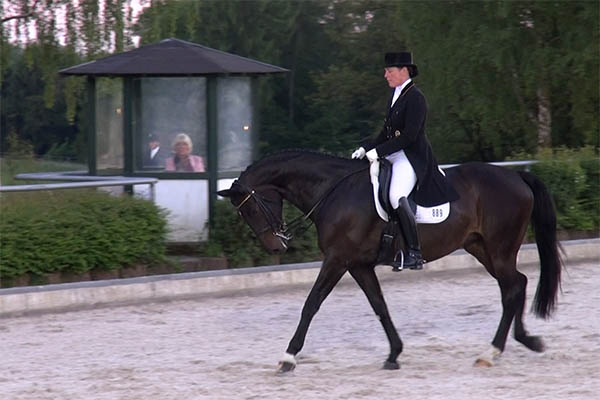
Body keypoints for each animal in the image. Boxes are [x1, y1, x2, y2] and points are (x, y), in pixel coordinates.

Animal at [217, 148, 564, 374]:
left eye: (251, 209)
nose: (276, 246)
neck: (333, 191)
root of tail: (516, 175)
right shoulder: (357, 264)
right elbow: (379, 305)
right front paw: (394, 354)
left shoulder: (337, 260)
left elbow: (311, 303)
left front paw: (288, 358)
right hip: (482, 248)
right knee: (516, 285)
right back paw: (524, 340)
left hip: (499, 248)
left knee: (512, 288)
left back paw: (492, 352)